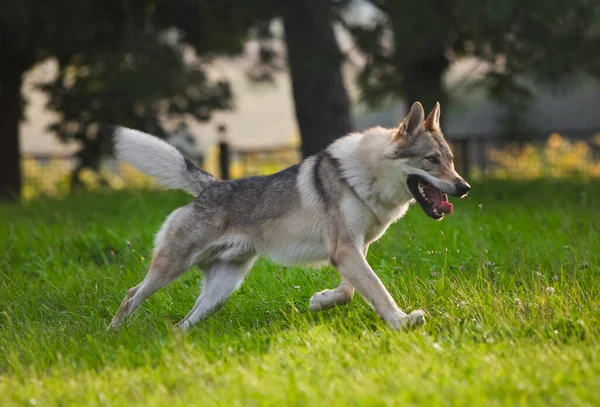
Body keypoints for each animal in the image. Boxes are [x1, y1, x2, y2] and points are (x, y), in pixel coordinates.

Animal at [110, 101, 472, 332]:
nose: (464, 187)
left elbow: (350, 292)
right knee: (130, 295)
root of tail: (211, 185)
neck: (363, 179)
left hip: (220, 291)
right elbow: (377, 291)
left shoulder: (353, 251)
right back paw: (112, 334)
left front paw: (320, 301)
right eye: (431, 160)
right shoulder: (346, 252)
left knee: (182, 323)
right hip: (172, 268)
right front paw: (401, 322)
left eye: (451, 161)